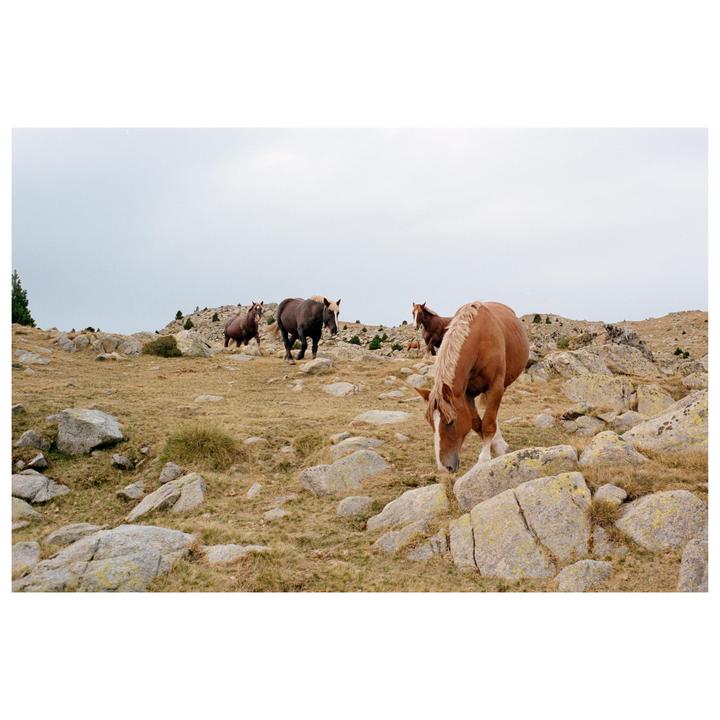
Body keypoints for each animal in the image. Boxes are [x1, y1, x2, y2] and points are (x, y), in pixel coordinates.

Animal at [415, 301, 529, 473]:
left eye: (450, 422)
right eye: (430, 423)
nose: (443, 468)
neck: (480, 342)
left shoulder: (495, 386)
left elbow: (487, 423)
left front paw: (484, 460)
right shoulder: (466, 394)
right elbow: (477, 423)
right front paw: (497, 447)